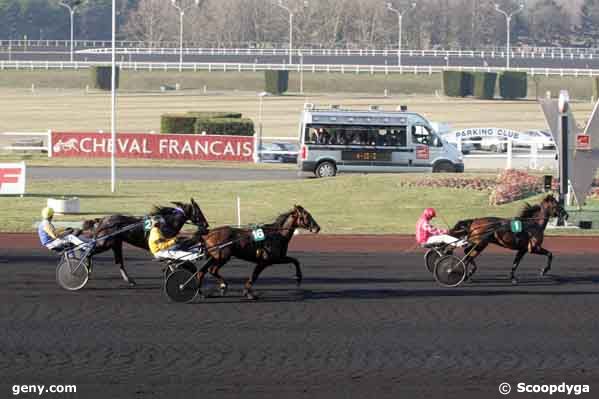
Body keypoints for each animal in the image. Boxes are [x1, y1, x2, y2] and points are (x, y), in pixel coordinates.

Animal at [81, 198, 209, 286]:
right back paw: (86, 269)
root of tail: (102, 220)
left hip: (116, 244)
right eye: (198, 211)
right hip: (105, 243)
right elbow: (170, 261)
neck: (166, 223)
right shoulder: (163, 246)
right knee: (89, 252)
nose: (206, 224)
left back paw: (129, 280)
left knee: (119, 262)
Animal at [193, 206, 324, 300]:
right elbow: (254, 276)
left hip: (215, 257)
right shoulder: (265, 261)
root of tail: (207, 234)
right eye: (307, 215)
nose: (317, 228)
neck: (277, 235)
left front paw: (298, 277)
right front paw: (248, 293)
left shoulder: (278, 258)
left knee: (202, 272)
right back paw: (222, 286)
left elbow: (295, 260)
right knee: (212, 270)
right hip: (222, 257)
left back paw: (203, 292)